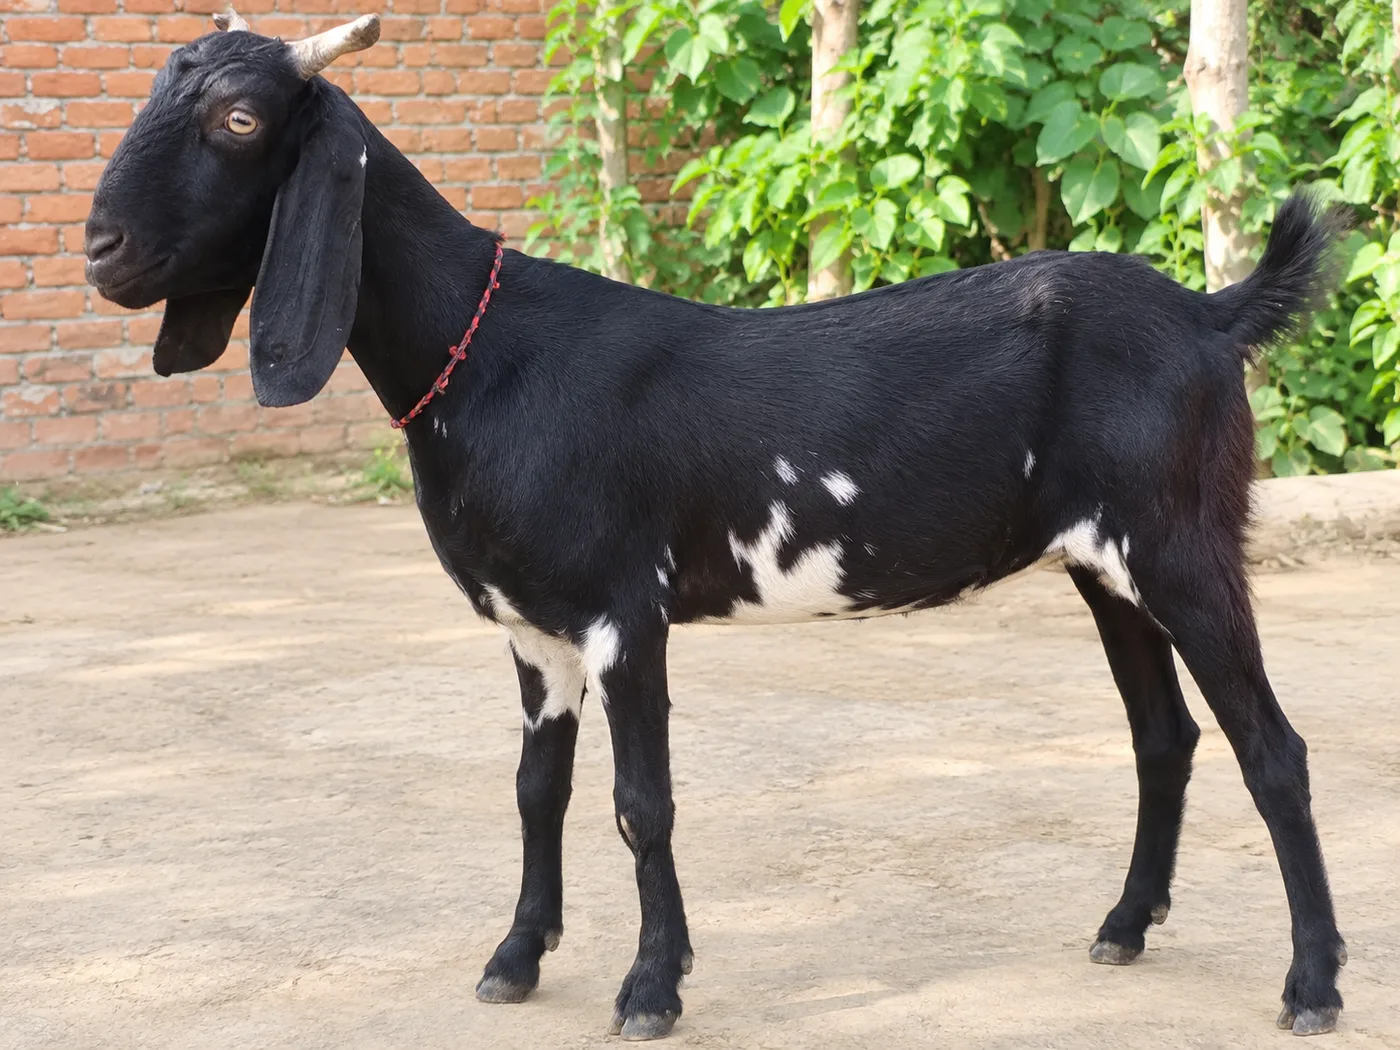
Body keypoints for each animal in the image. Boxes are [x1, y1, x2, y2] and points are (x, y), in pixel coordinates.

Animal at [84, 13, 1349, 1040]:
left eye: (239, 119)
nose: (102, 250)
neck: (489, 357)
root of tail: (1207, 315)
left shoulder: (621, 612)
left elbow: (640, 805)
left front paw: (650, 989)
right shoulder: (533, 631)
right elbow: (535, 791)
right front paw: (515, 958)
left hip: (1181, 546)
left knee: (1271, 749)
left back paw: (1310, 984)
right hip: (1102, 565)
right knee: (1163, 737)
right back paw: (1124, 925)